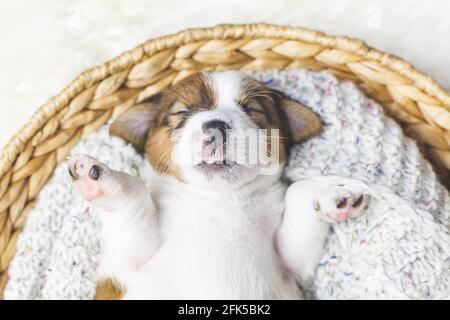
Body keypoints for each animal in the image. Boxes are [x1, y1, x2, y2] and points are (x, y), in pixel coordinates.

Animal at [66, 70, 370, 300]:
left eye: (252, 109)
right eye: (183, 112)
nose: (215, 127)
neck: (219, 200)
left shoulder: (290, 261)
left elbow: (297, 194)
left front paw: (331, 195)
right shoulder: (128, 259)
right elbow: (135, 195)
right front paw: (99, 176)